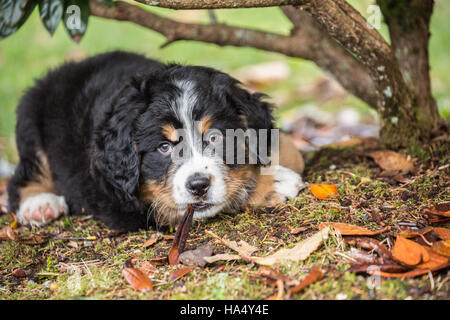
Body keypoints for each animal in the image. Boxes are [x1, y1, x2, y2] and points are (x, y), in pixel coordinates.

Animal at [7, 51, 304, 231]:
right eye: (164, 147)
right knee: (22, 176)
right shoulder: (127, 204)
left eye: (215, 137)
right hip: (30, 118)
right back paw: (39, 205)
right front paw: (274, 181)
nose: (198, 186)